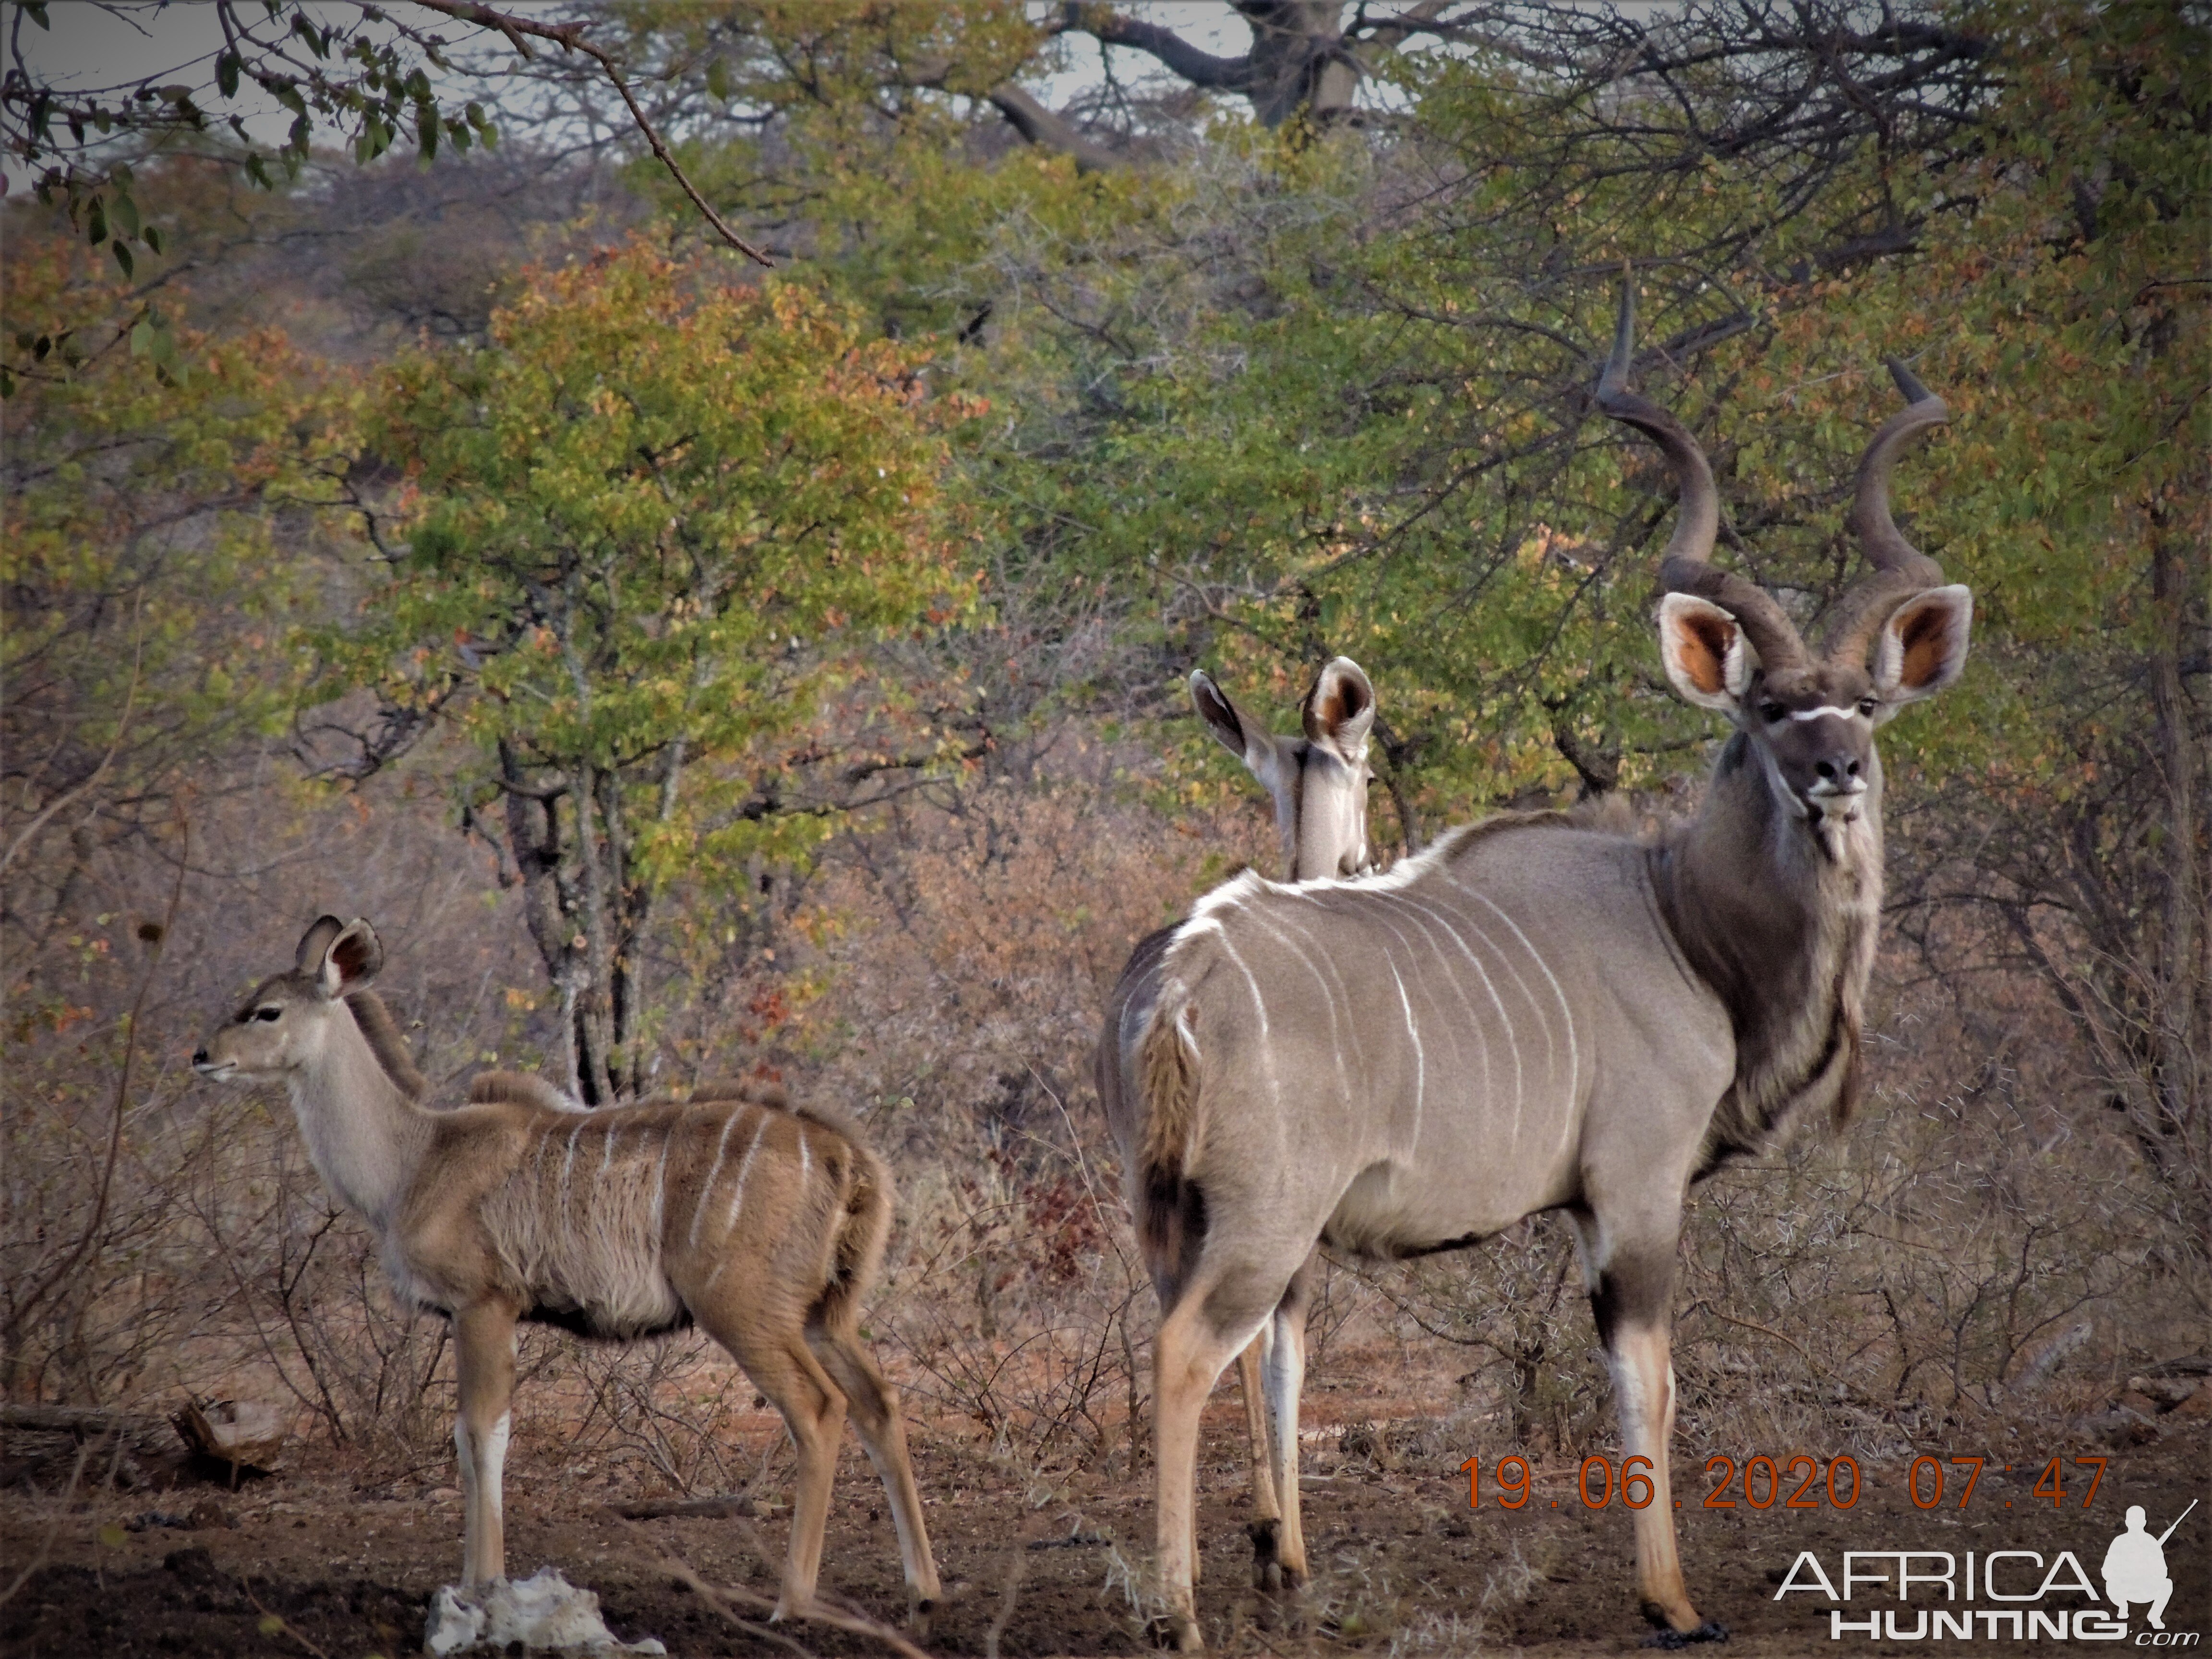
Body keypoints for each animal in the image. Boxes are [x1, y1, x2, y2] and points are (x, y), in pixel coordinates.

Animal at [192, 925, 942, 1636]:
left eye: (267, 1010)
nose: (202, 1057)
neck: (416, 1159)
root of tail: (849, 1158)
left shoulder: (484, 1305)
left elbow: (482, 1435)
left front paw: (483, 1588)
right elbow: (473, 1438)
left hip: (744, 1310)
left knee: (817, 1411)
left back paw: (791, 1605)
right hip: (823, 1316)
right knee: (879, 1403)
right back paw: (923, 1593)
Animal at [1097, 654, 1371, 1592]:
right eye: (1369, 774)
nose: (1364, 855)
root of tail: (1172, 1001)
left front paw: (1260, 1526)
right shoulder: (1304, 1216)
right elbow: (1288, 1348)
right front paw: (1284, 1544)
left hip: (1154, 1194)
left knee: (1178, 1327)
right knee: (1223, 1337)